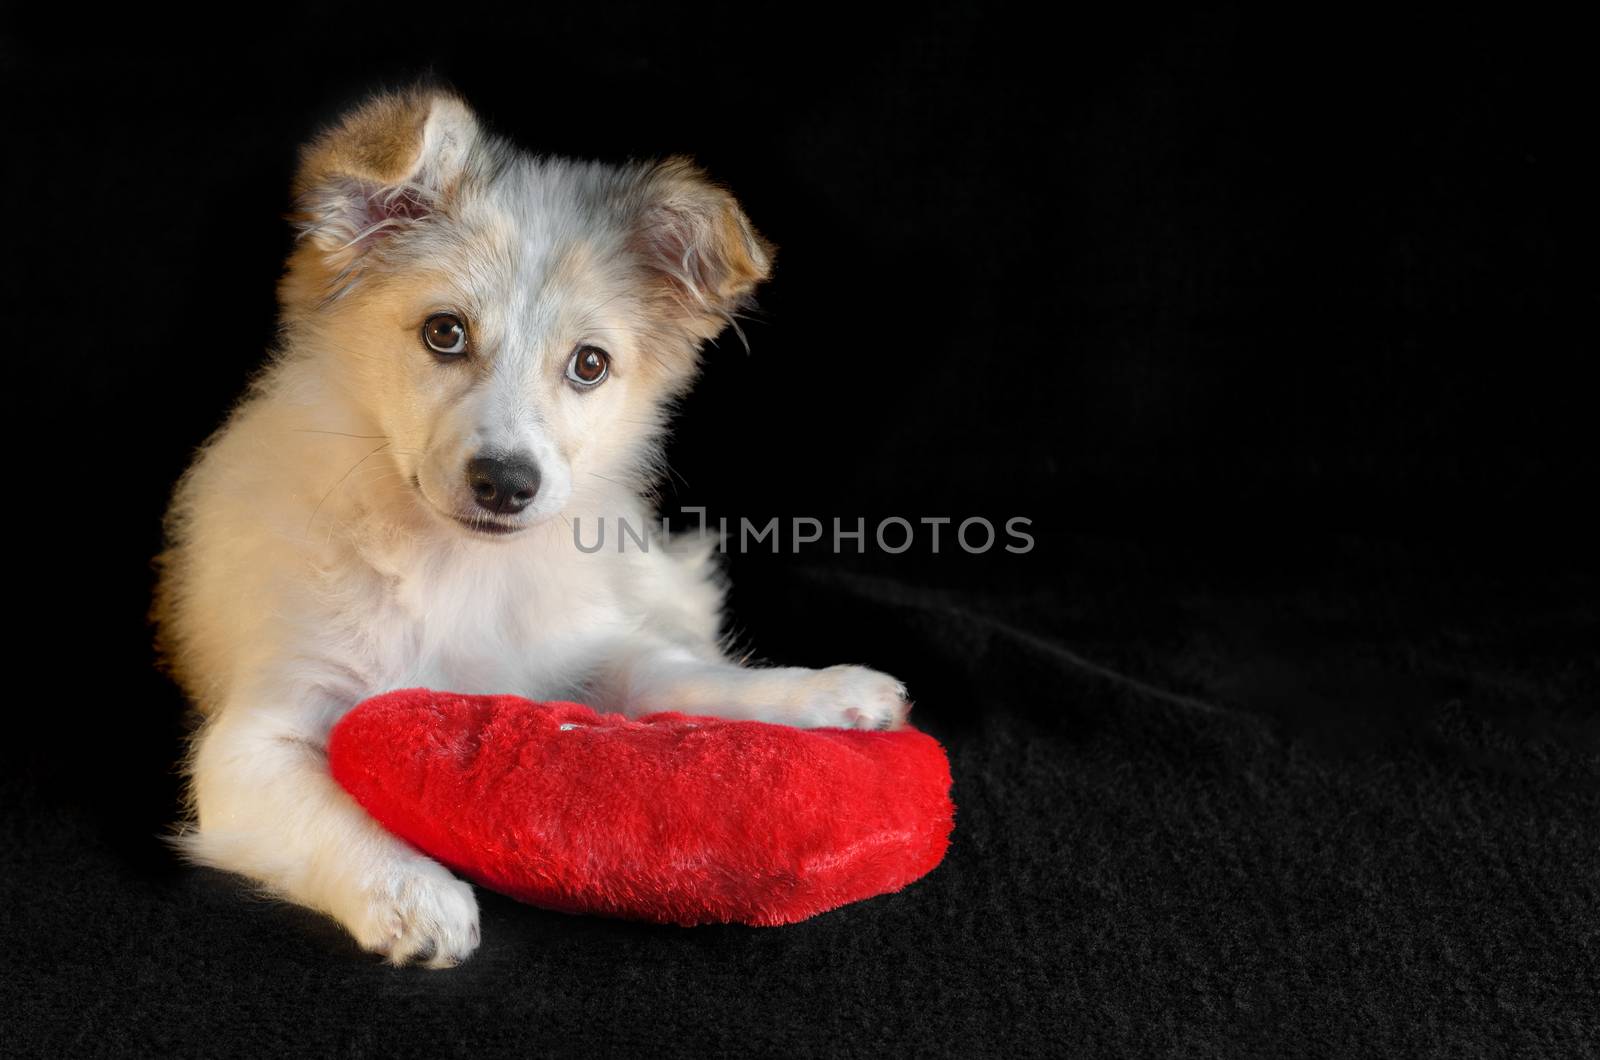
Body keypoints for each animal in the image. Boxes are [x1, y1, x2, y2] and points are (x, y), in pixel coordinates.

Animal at [159, 89, 915, 973]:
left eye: (589, 364)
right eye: (444, 332)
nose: (507, 483)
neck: (454, 567)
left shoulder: (589, 651)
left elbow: (688, 677)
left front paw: (824, 692)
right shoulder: (255, 740)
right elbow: (331, 817)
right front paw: (412, 891)